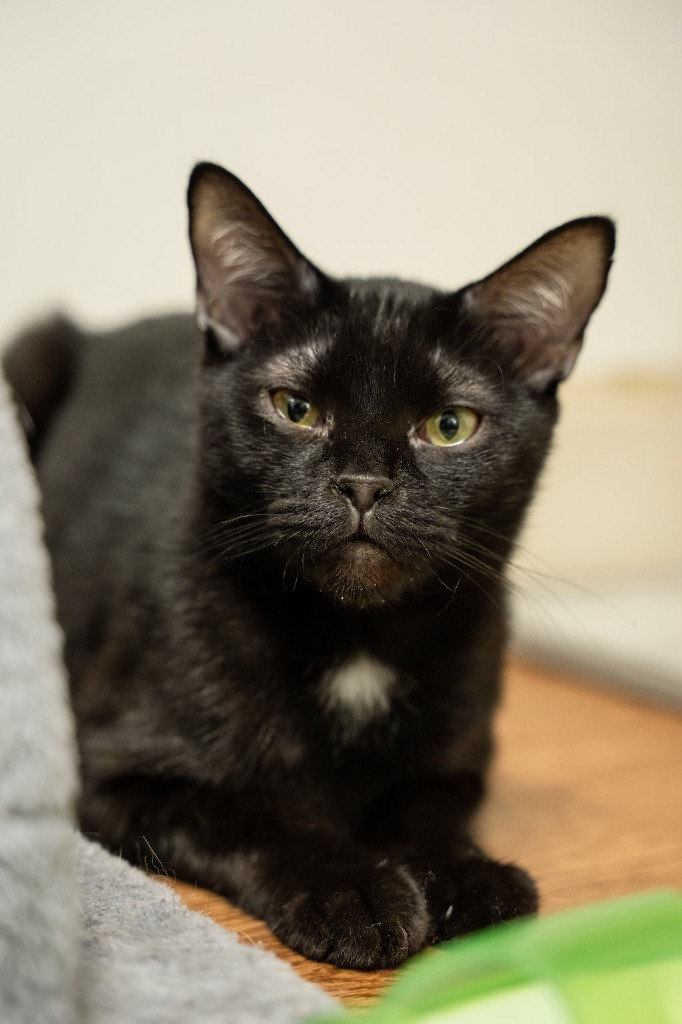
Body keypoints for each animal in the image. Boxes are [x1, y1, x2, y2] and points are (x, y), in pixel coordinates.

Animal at [3, 163, 610, 970]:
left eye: (451, 426)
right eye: (294, 408)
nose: (363, 484)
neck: (358, 644)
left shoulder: (459, 760)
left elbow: (421, 807)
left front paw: (467, 876)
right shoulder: (111, 771)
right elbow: (252, 812)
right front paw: (352, 889)